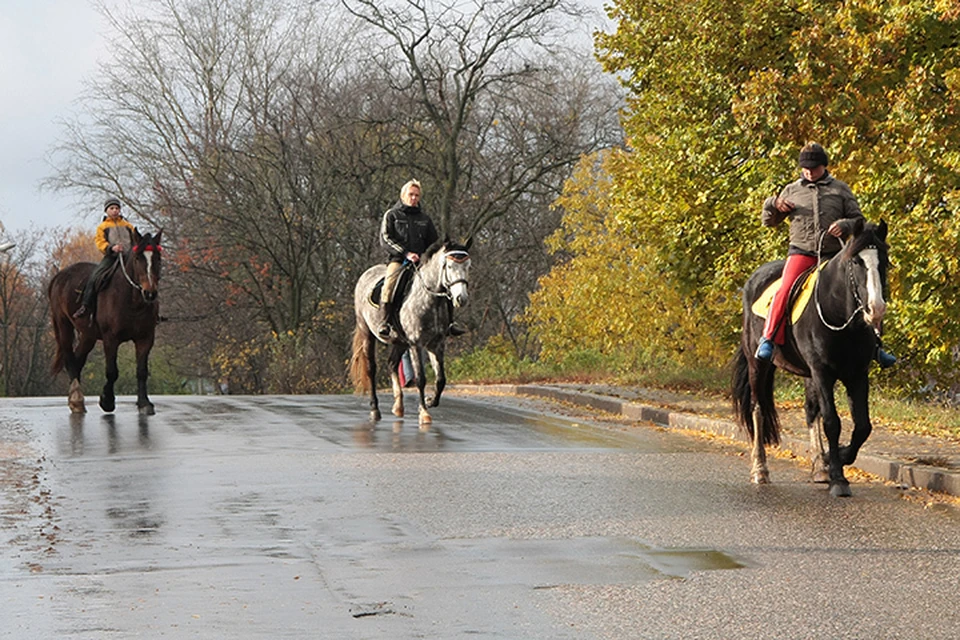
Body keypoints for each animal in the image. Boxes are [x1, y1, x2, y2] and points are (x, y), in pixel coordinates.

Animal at [47, 230, 163, 416]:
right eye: (138, 258)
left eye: (158, 257)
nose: (150, 293)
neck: (132, 301)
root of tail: (59, 276)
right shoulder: (111, 339)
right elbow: (112, 371)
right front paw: (107, 401)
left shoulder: (145, 339)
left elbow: (142, 371)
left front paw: (144, 403)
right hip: (64, 325)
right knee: (70, 360)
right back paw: (77, 400)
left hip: (88, 335)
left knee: (78, 360)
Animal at [352, 240, 472, 424]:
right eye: (449, 266)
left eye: (468, 266)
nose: (461, 298)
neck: (430, 300)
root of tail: (366, 274)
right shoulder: (416, 344)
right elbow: (420, 379)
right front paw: (424, 413)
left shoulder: (436, 344)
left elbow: (441, 379)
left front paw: (430, 401)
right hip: (367, 333)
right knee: (371, 369)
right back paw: (375, 410)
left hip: (400, 342)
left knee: (392, 363)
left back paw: (398, 406)